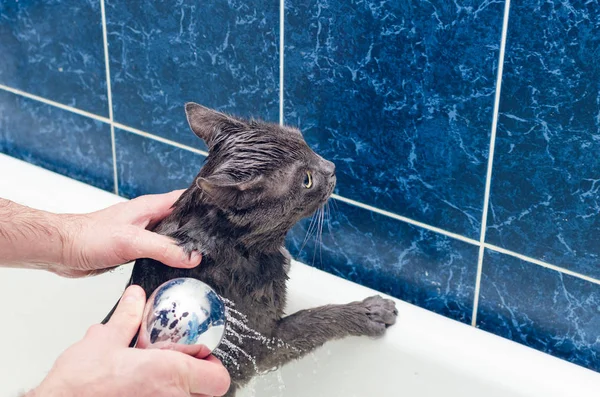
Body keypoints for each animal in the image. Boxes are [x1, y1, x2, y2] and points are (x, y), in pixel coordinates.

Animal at [102, 103, 398, 394]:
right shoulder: (262, 344)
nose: (332, 166)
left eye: (302, 139)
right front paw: (371, 311)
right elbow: (315, 319)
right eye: (307, 180)